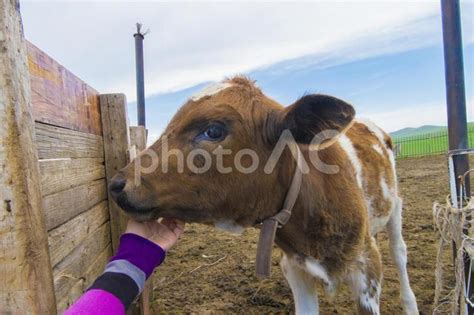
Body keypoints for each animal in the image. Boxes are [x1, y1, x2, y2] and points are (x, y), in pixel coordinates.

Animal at [110, 77, 418, 315]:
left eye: (213, 130)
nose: (117, 184)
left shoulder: (368, 269)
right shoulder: (295, 269)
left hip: (396, 208)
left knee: (399, 252)